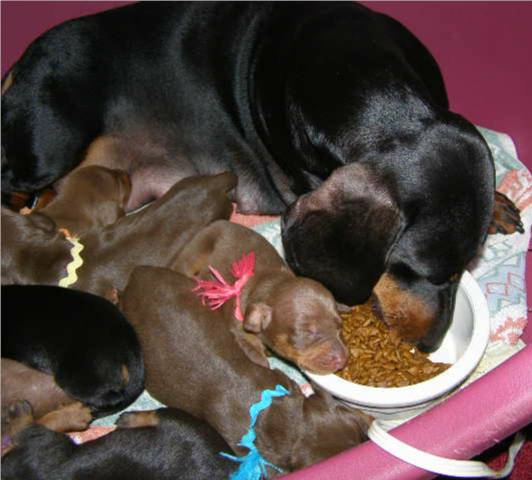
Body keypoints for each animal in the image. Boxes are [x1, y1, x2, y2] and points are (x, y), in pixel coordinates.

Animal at [174, 220, 350, 376]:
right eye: (306, 332)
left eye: (340, 326)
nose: (342, 360)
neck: (269, 283)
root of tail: (216, 223)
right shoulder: (238, 327)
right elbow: (251, 347)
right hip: (196, 250)